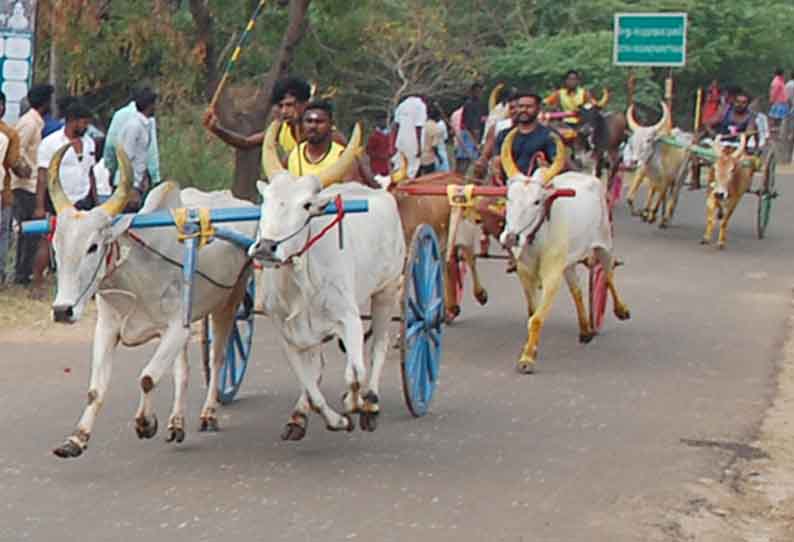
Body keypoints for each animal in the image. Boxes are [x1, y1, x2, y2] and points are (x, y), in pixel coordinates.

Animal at [45, 149, 254, 460]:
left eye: (93, 246)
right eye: (56, 248)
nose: (62, 311)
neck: (136, 275)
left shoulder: (176, 328)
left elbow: (146, 378)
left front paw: (145, 423)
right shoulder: (107, 328)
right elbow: (96, 390)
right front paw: (76, 439)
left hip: (230, 300)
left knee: (218, 359)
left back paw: (208, 413)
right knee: (183, 371)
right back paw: (177, 423)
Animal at [251, 121, 406, 440]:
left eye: (307, 205)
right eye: (265, 201)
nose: (266, 248)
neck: (299, 283)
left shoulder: (349, 318)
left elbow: (355, 373)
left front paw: (355, 403)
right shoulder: (287, 333)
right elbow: (311, 387)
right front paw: (334, 420)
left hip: (387, 289)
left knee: (379, 345)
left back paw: (370, 403)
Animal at [498, 131, 628, 376]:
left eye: (537, 201)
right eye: (509, 198)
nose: (511, 238)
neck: (537, 239)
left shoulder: (552, 276)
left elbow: (536, 319)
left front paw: (527, 359)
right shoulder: (525, 273)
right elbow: (532, 312)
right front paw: (532, 349)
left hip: (604, 245)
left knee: (608, 275)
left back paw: (621, 310)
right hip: (568, 264)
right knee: (577, 291)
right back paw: (585, 330)